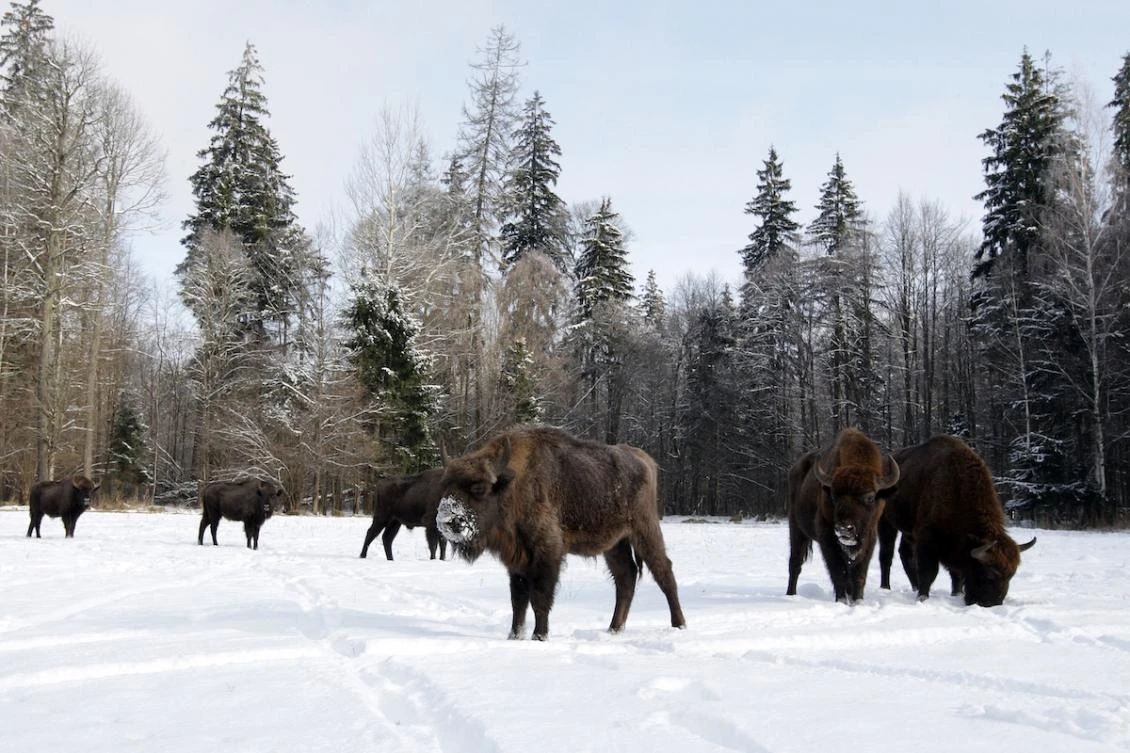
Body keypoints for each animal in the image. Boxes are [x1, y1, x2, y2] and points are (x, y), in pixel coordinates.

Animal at [436, 425, 686, 641]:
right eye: (446, 485)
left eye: (479, 488)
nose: (445, 520)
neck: (513, 484)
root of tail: (645, 460)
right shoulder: (516, 560)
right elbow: (518, 600)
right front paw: (514, 636)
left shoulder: (547, 554)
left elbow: (539, 598)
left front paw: (539, 636)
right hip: (615, 543)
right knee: (626, 577)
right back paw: (614, 629)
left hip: (645, 530)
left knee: (664, 571)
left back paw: (679, 625)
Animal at [787, 427, 900, 603]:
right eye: (833, 496)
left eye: (870, 497)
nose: (844, 529)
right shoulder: (827, 538)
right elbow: (838, 573)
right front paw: (841, 601)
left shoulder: (869, 538)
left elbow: (858, 574)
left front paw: (857, 601)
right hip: (796, 528)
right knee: (795, 563)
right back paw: (790, 595)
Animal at [878, 434, 1036, 607]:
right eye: (989, 574)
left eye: (1011, 575)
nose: (992, 603)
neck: (957, 488)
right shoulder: (927, 540)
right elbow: (929, 571)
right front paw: (923, 597)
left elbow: (956, 575)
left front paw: (956, 593)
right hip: (886, 523)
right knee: (886, 555)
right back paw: (886, 587)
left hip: (907, 532)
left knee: (905, 554)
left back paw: (914, 587)